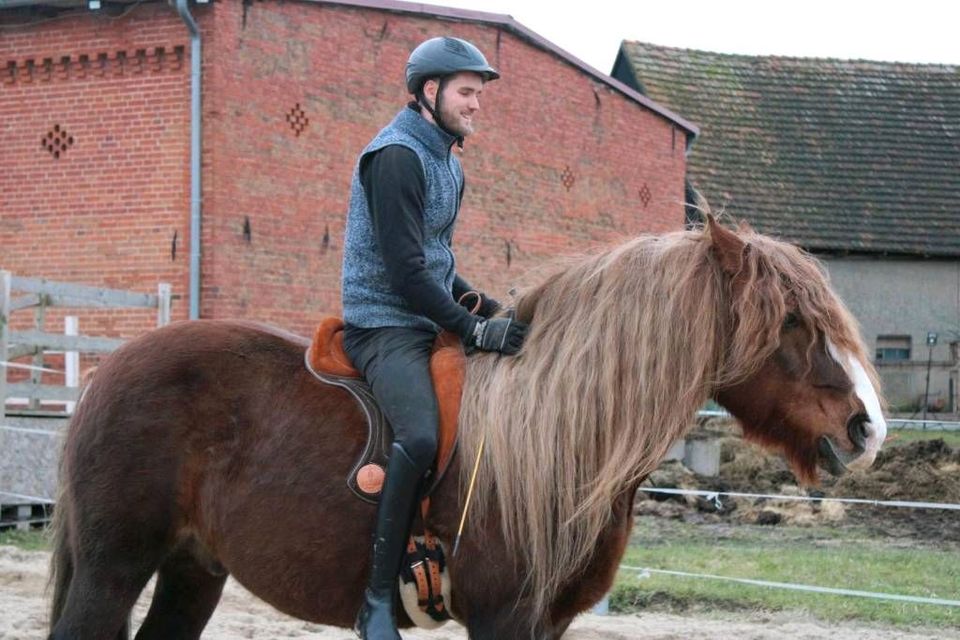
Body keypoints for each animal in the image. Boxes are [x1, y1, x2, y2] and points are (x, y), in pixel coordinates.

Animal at [45, 216, 884, 640]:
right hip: (112, 571)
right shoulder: (503, 619)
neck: (558, 430)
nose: (866, 427)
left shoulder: (548, 624)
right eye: (792, 322)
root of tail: (108, 371)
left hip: (193, 570)